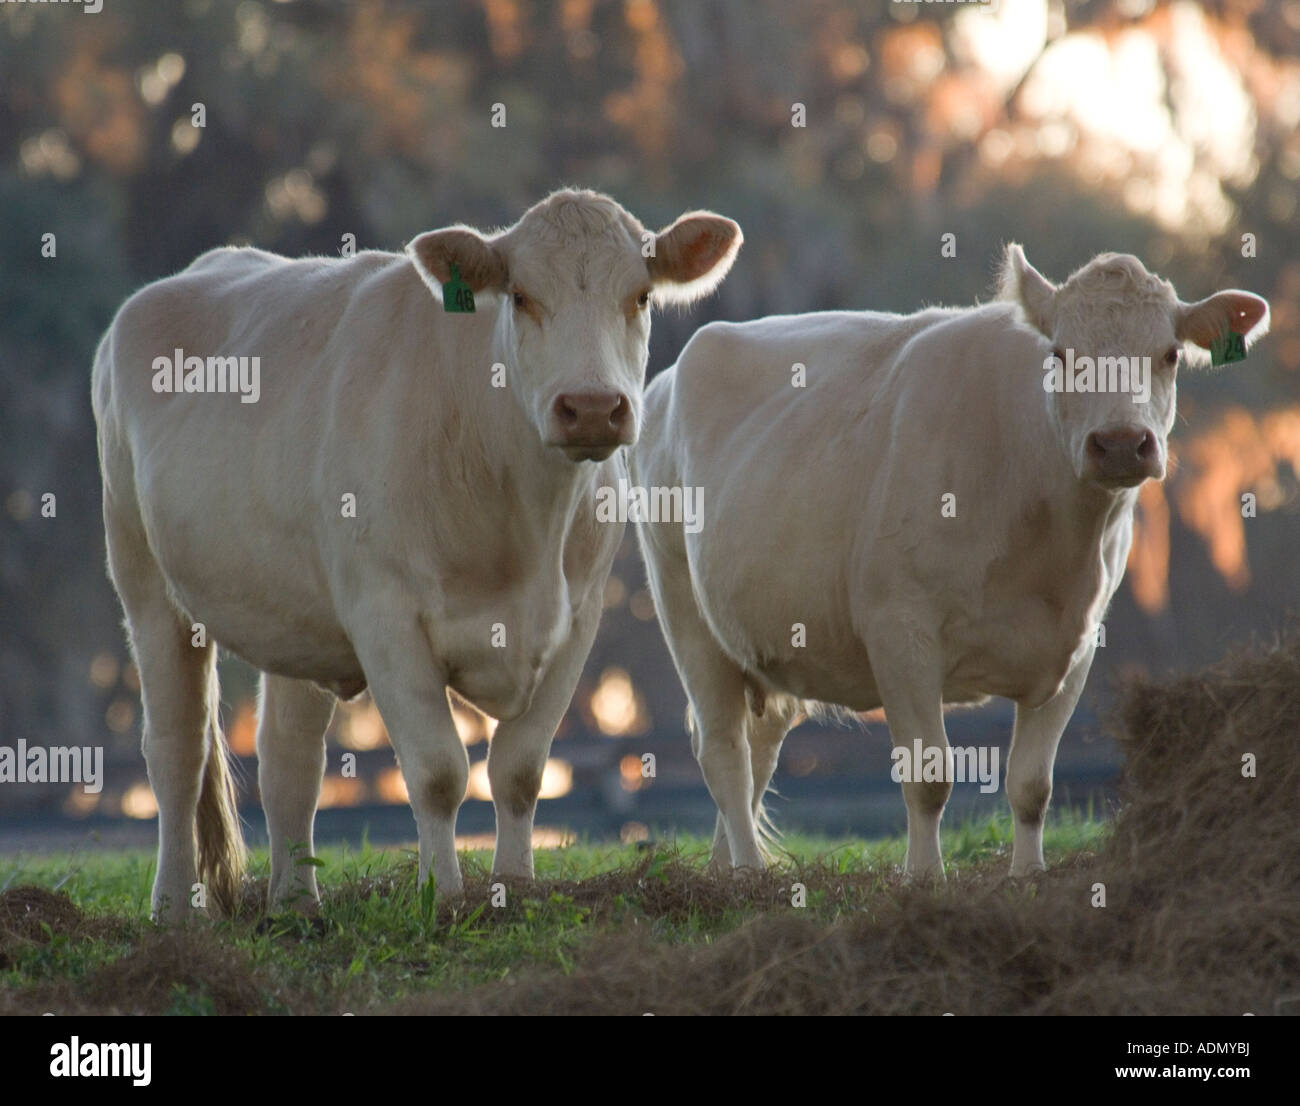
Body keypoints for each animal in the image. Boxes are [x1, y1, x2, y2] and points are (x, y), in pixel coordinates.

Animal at [94, 192, 743, 925]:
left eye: (640, 296)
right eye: (521, 295)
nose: (593, 407)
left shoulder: (576, 620)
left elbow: (519, 771)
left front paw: (514, 887)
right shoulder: (386, 618)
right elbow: (438, 772)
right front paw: (446, 897)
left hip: (291, 618)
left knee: (289, 760)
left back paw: (297, 906)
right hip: (146, 584)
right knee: (177, 752)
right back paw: (175, 911)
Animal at [631, 244, 1268, 883]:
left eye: (1169, 354)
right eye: (1061, 354)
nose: (1118, 443)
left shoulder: (1076, 646)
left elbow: (1031, 784)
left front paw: (1027, 875)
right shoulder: (900, 630)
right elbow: (929, 775)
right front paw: (924, 879)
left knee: (758, 748)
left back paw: (724, 869)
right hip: (683, 607)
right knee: (724, 753)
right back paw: (747, 873)